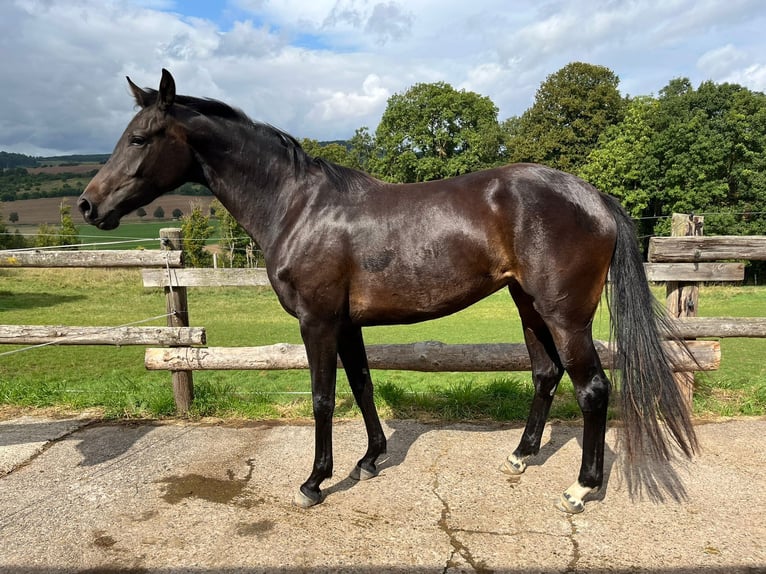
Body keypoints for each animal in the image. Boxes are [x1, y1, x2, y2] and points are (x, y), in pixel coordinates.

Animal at [81, 70, 700, 516]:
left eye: (139, 138)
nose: (88, 205)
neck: (298, 206)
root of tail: (594, 197)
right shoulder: (346, 323)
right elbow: (362, 386)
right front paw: (370, 460)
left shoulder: (317, 321)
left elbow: (323, 397)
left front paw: (315, 481)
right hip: (528, 306)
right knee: (545, 374)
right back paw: (522, 456)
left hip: (565, 315)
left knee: (592, 388)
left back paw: (581, 489)